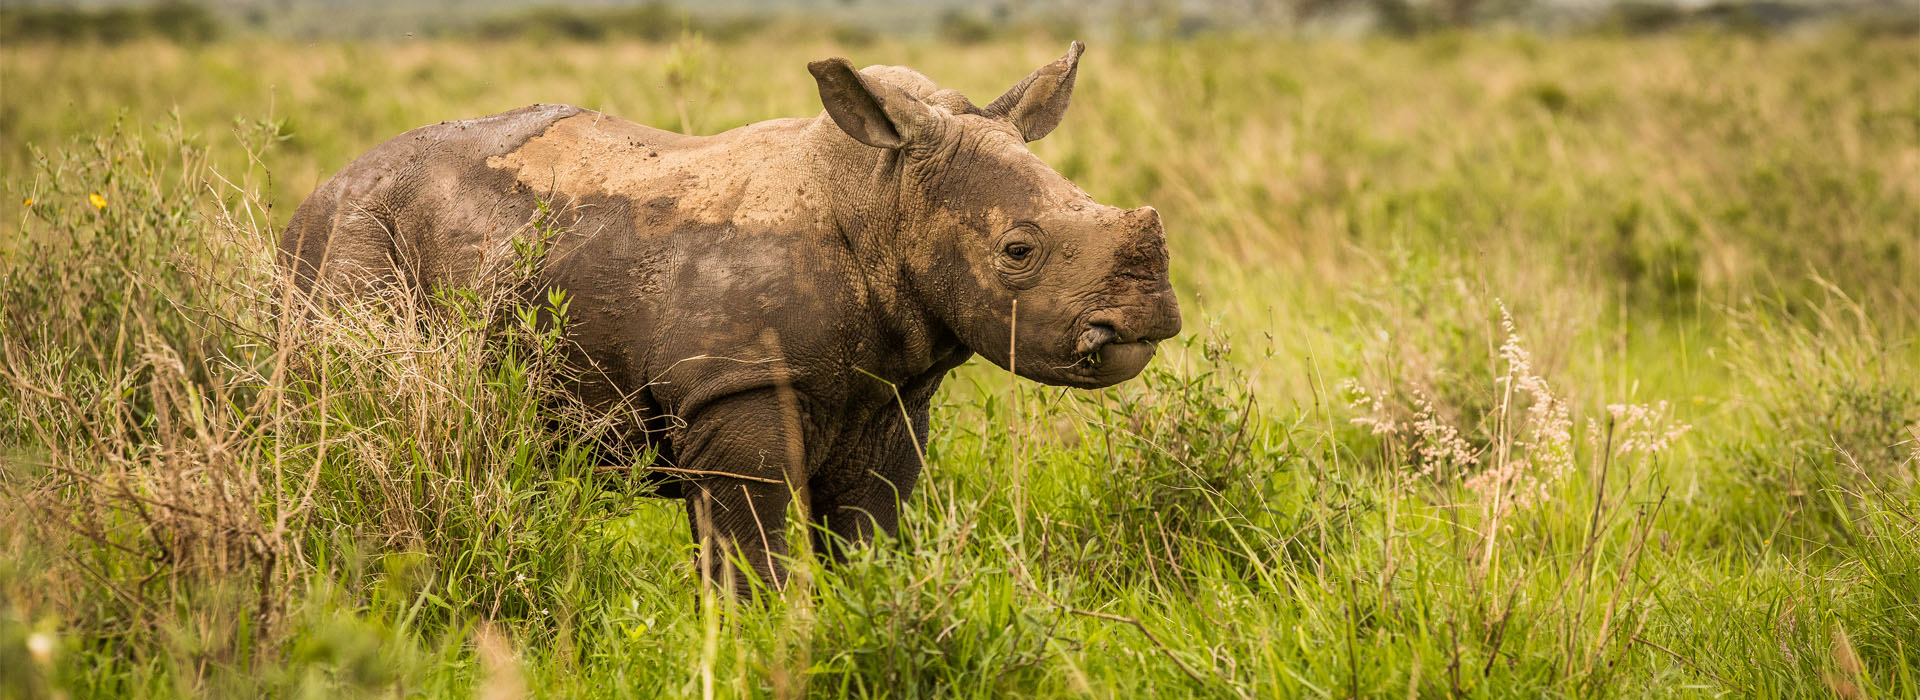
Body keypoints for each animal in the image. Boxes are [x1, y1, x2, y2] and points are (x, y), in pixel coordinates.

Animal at [280, 42, 1182, 590]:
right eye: (1018, 252)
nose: (1144, 321)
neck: (881, 196)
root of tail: (316, 192)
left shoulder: (893, 394)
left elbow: (868, 535)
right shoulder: (736, 385)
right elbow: (752, 555)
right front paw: (761, 641)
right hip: (351, 234)